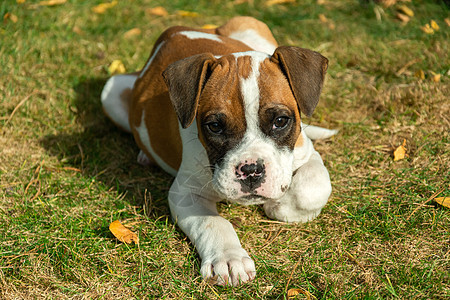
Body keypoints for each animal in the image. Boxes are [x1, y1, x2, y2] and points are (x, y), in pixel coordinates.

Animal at [101, 16, 334, 286]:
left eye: (280, 121)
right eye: (214, 126)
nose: (251, 170)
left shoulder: (305, 152)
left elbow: (313, 188)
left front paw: (279, 206)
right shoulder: (185, 193)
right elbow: (213, 223)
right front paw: (229, 258)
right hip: (110, 91)